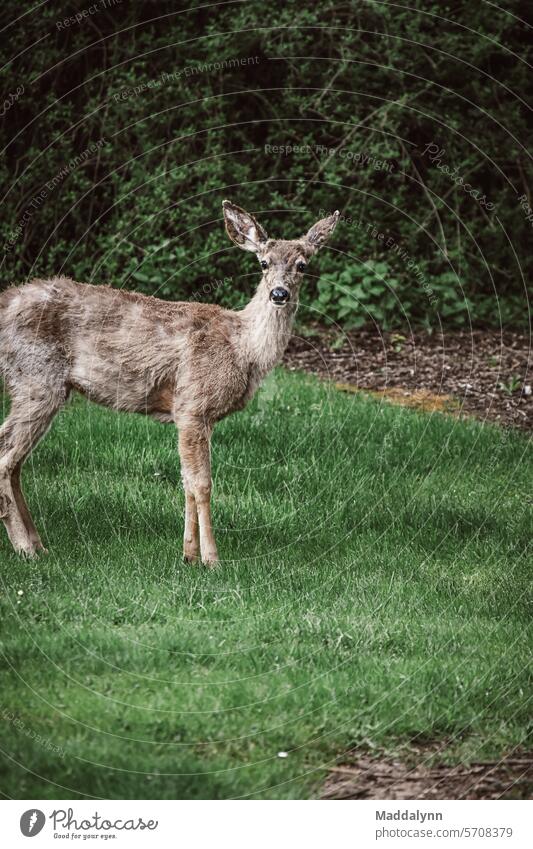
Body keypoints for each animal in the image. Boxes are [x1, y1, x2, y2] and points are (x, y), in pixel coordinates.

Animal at [0, 200, 338, 564]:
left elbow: (187, 483)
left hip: (41, 385)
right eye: (263, 263)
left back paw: (38, 544)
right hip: (36, 376)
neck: (242, 348)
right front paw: (212, 559)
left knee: (16, 460)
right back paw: (24, 547)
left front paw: (188, 555)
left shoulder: (199, 416)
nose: (279, 293)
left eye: (302, 265)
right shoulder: (192, 403)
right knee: (7, 457)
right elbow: (202, 484)